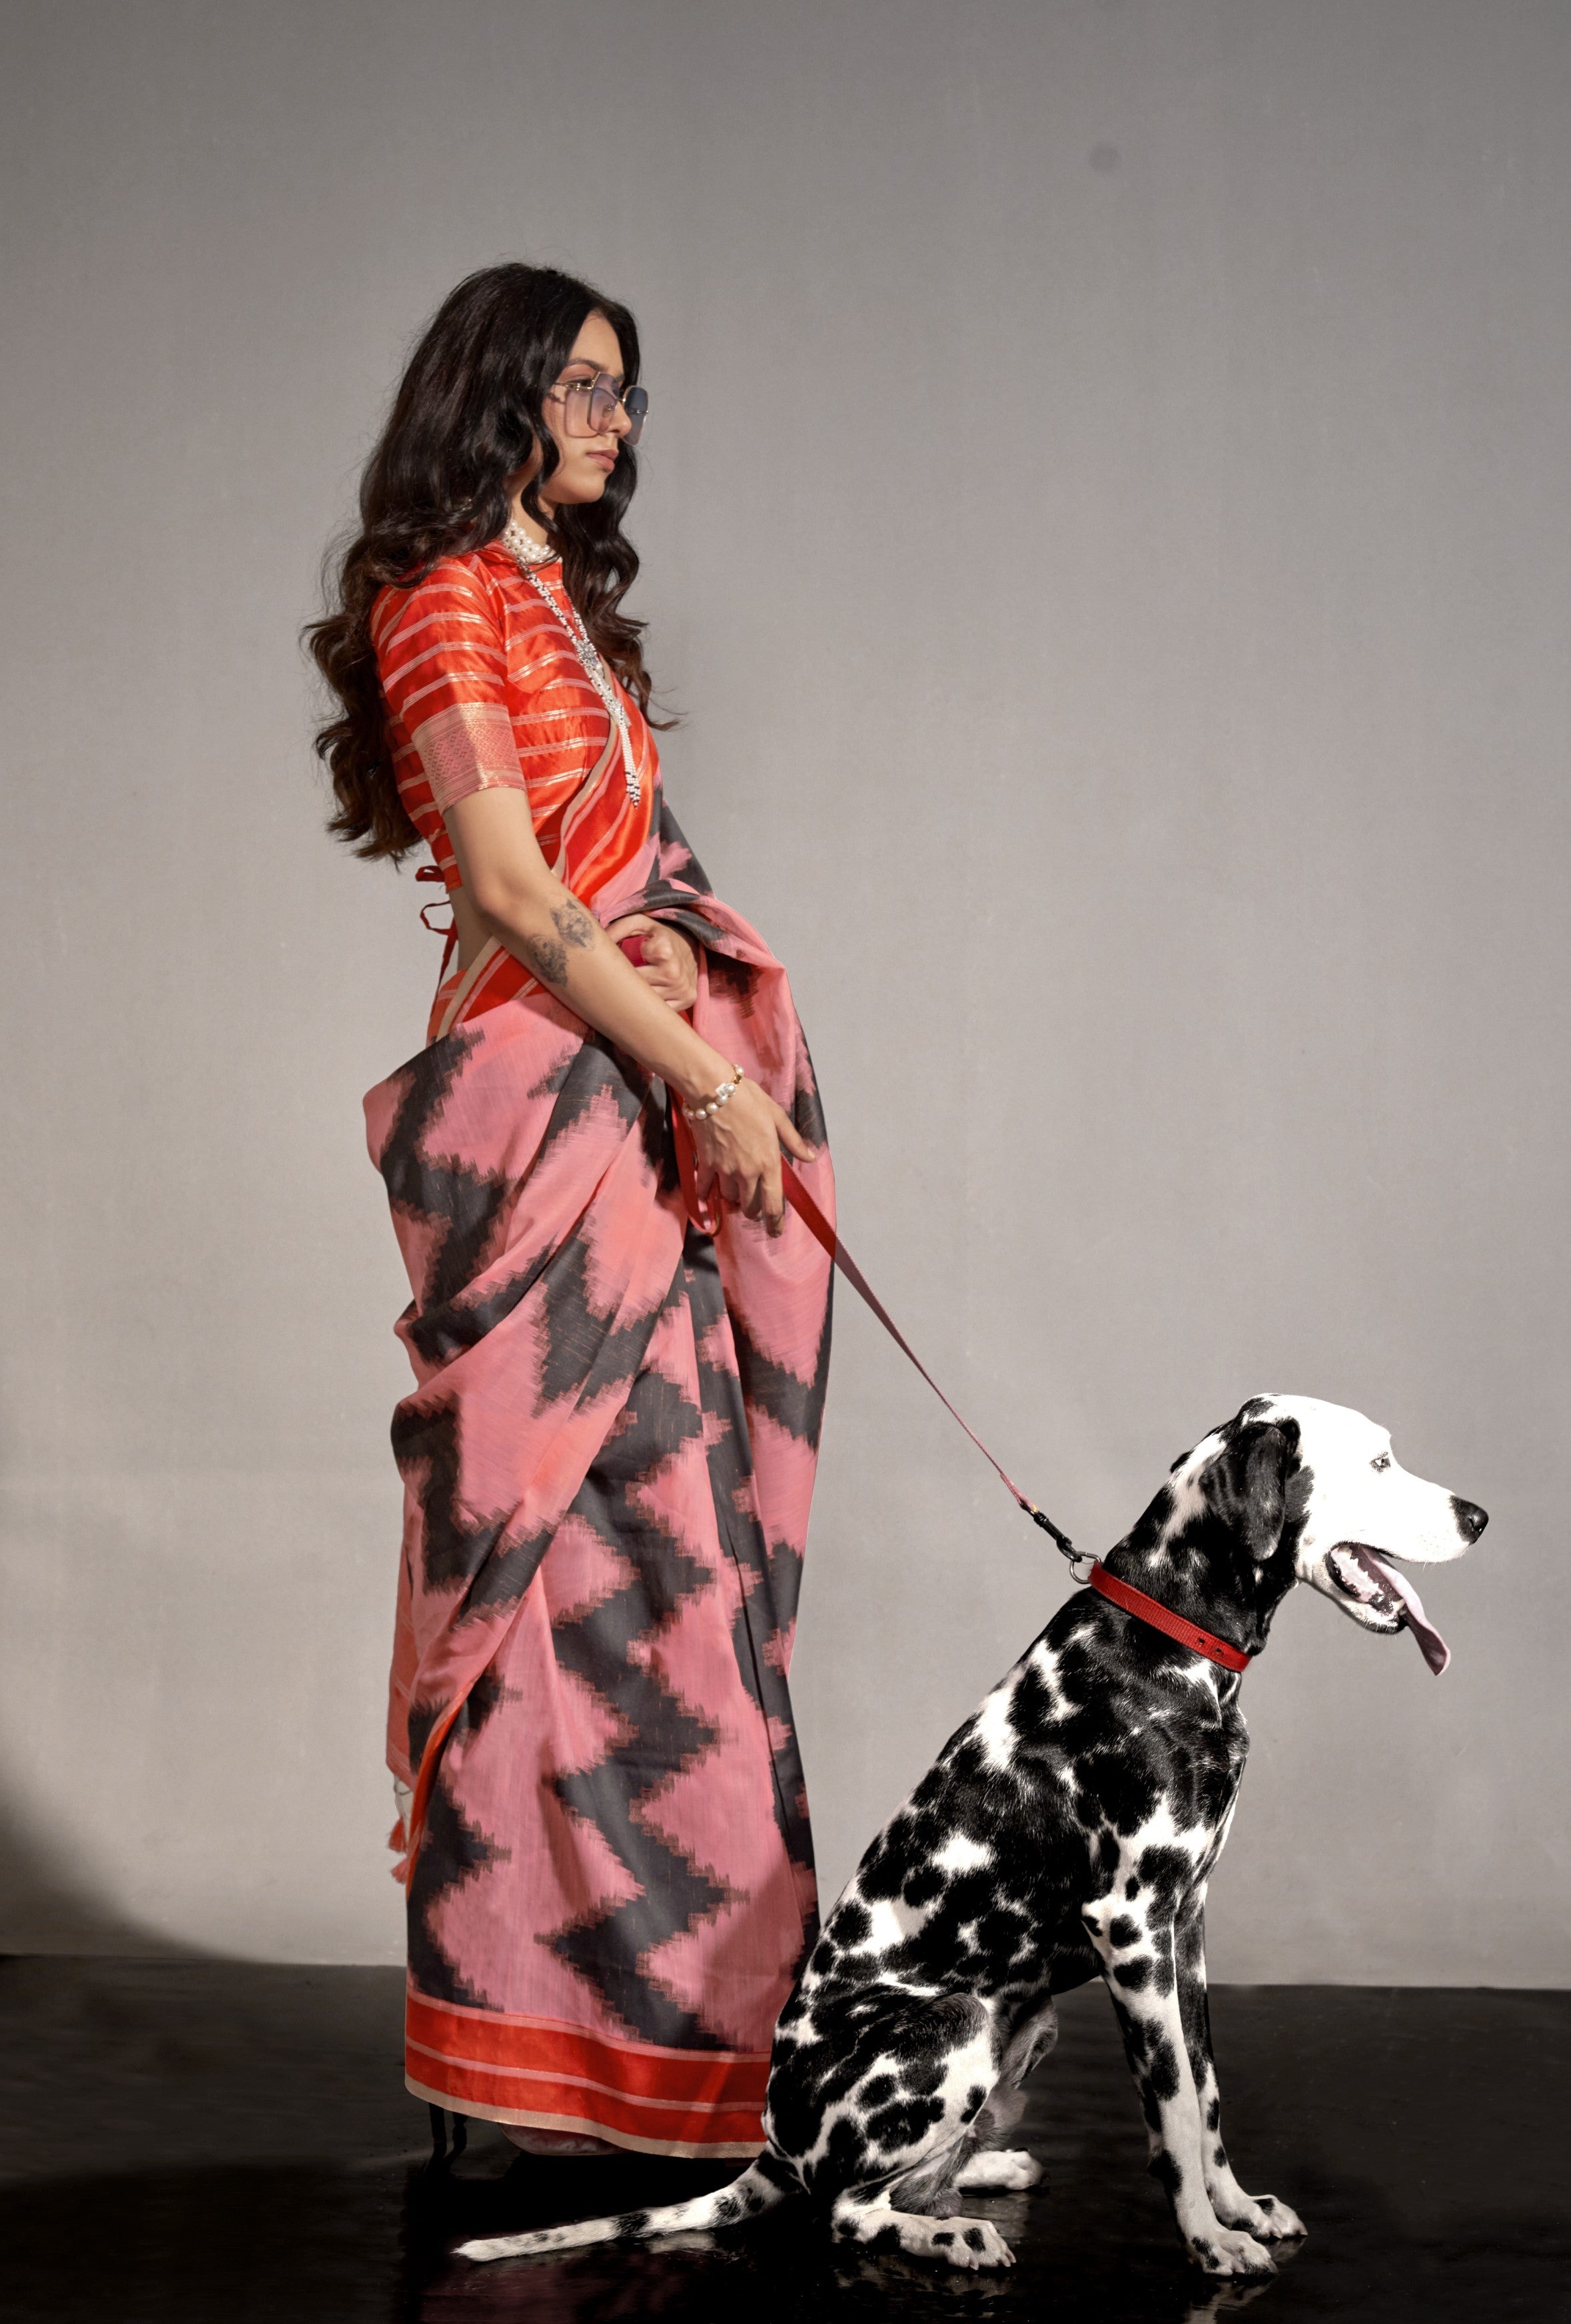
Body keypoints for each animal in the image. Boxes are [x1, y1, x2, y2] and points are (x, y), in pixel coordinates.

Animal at [453, 1394, 1487, 2268]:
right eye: (1378, 1462)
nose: (1479, 1516)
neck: (1169, 1639)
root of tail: (773, 2144)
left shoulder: (1186, 1926)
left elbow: (1207, 2095)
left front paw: (1237, 2209)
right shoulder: (1130, 1929)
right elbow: (1172, 2115)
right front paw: (1207, 2241)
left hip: (1024, 2025)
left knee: (908, 2178)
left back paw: (980, 2172)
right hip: (956, 2022)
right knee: (846, 2211)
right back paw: (948, 2238)